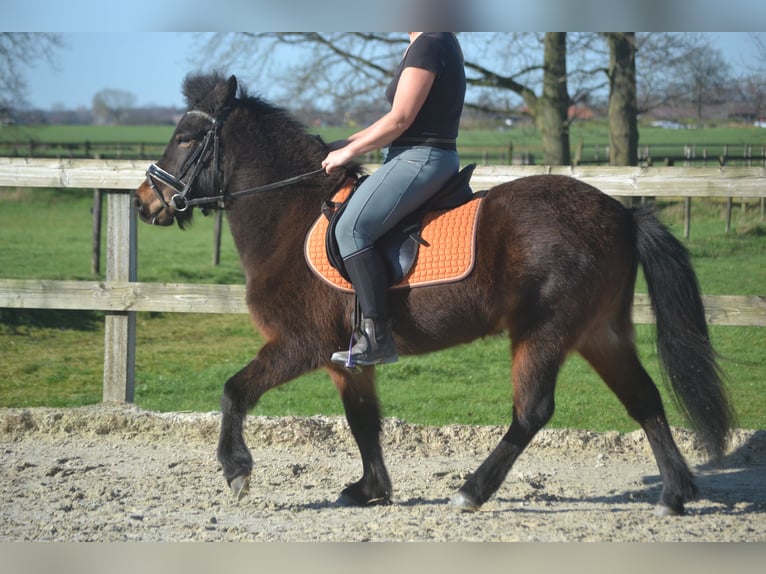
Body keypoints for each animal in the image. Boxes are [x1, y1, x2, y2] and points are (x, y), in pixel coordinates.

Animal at [134, 72, 734, 516]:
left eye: (187, 137)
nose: (145, 201)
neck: (290, 215)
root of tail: (623, 214)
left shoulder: (299, 344)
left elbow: (234, 391)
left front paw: (236, 470)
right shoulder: (346, 357)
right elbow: (363, 420)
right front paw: (370, 489)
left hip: (544, 331)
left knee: (533, 411)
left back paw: (472, 490)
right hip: (600, 332)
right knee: (645, 400)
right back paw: (674, 494)